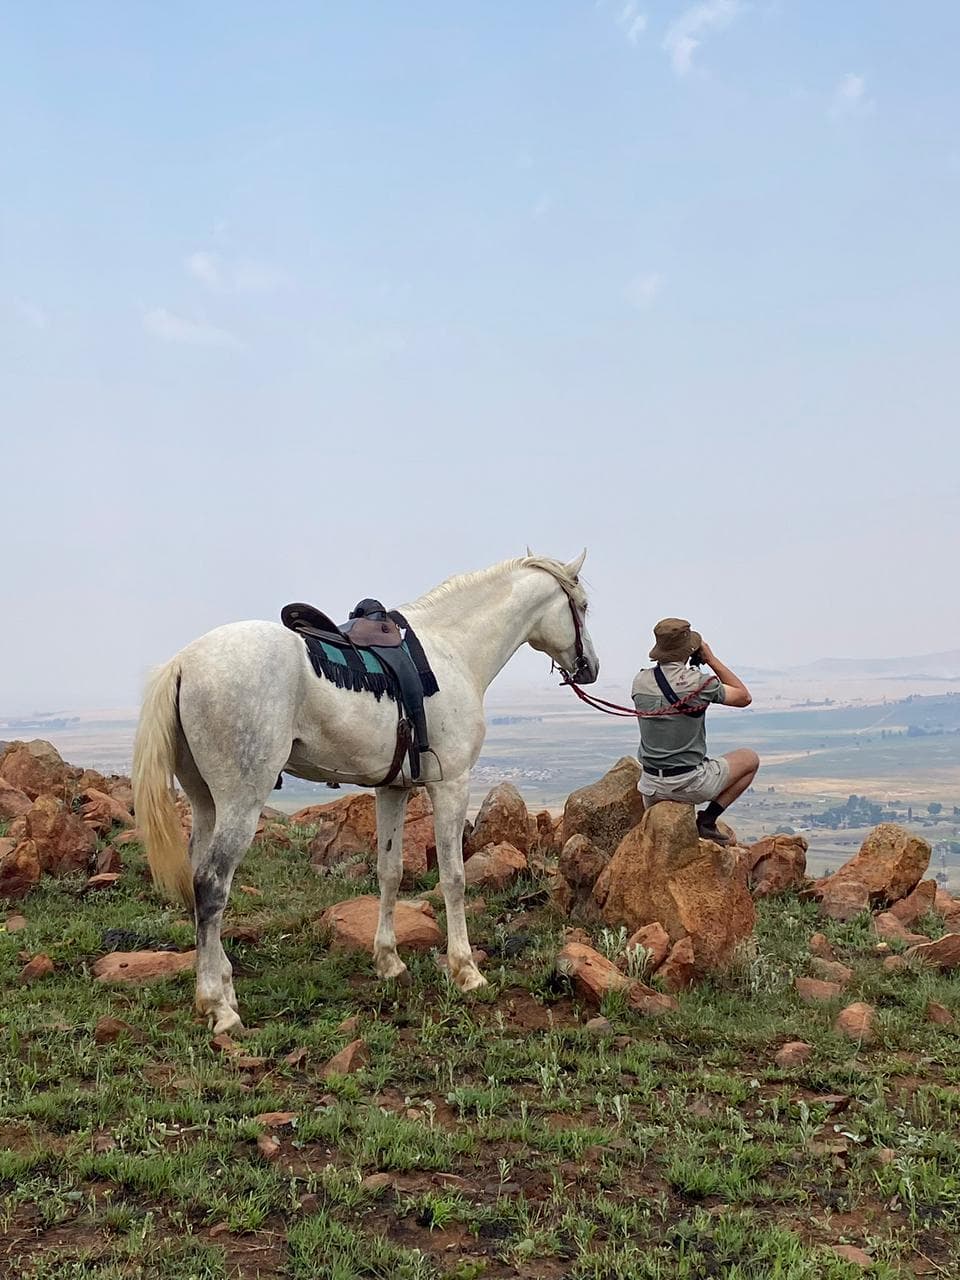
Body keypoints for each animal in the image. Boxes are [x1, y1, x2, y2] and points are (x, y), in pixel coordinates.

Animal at [132, 553, 599, 1034]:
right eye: (582, 606)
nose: (590, 668)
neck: (453, 649)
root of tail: (184, 662)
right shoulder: (451, 784)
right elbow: (453, 878)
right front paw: (466, 970)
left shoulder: (393, 789)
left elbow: (389, 872)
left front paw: (389, 962)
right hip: (240, 802)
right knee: (212, 885)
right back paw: (219, 1007)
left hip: (206, 801)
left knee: (198, 880)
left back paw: (221, 986)